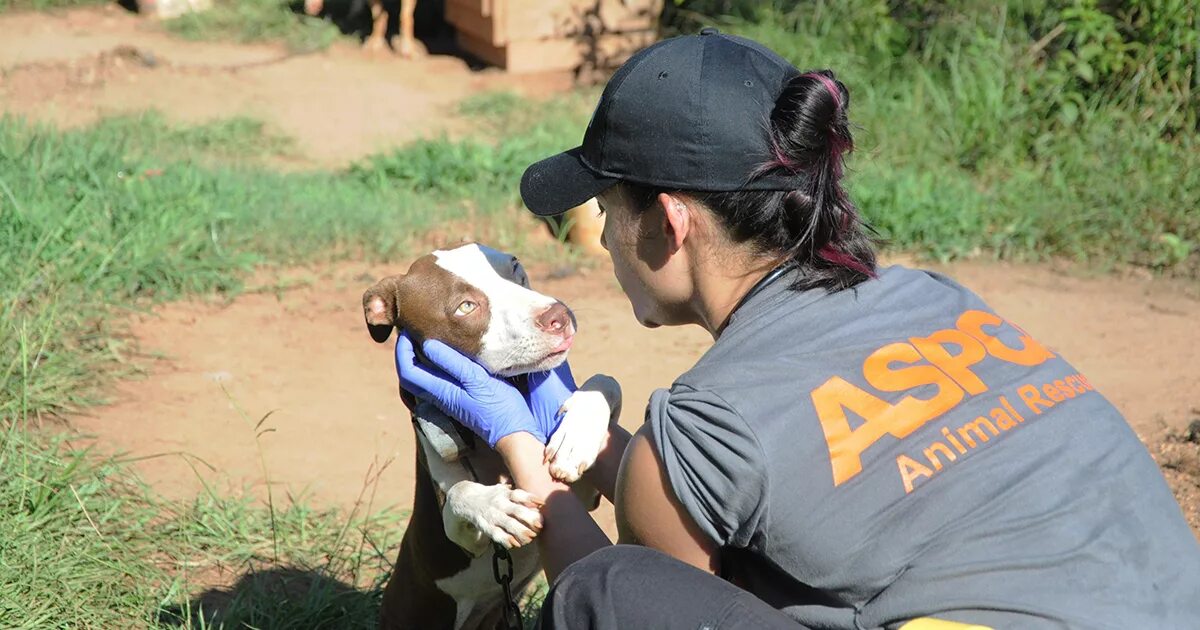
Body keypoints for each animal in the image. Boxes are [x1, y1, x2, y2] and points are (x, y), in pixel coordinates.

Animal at [362, 243, 624, 624]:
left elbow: (605, 381)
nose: (558, 315)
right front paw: (497, 508)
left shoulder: (584, 494)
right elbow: (459, 493)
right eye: (466, 306)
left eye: (514, 268)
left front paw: (575, 438)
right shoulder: (458, 534)